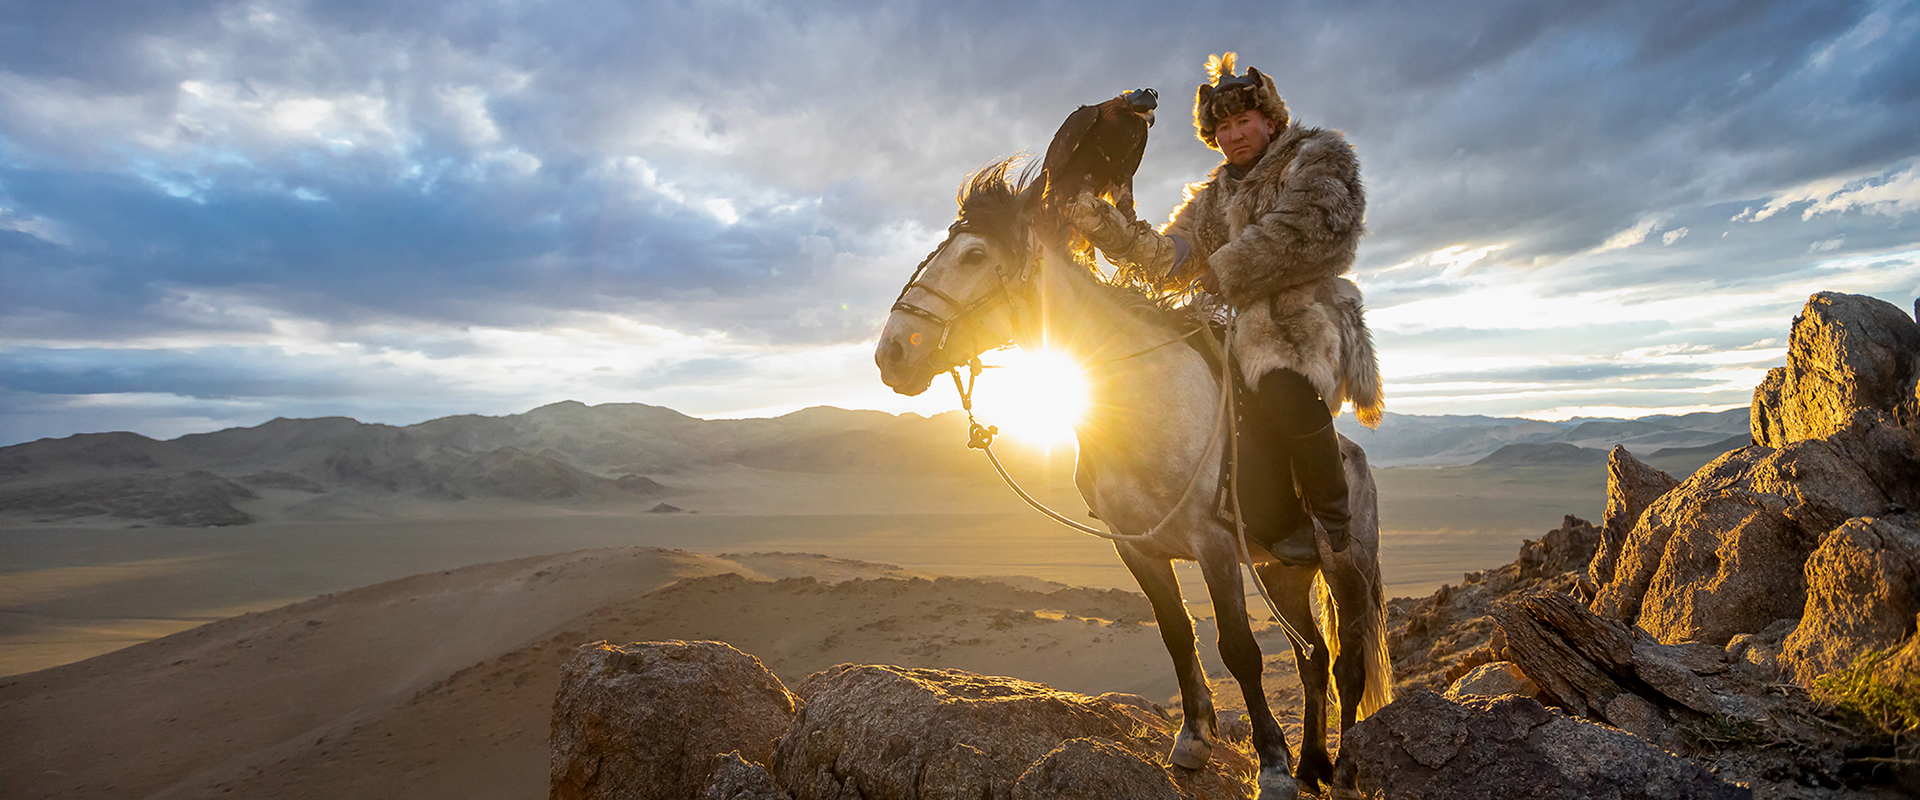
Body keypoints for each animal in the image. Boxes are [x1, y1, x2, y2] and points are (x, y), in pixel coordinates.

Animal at [875, 157, 1397, 798]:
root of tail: (1356, 458)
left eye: (974, 255)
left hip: (1346, 565)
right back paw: (1312, 764)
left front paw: (1271, 767)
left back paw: (1342, 770)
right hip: (1283, 572)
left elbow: (1238, 648)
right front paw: (1194, 741)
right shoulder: (1137, 548)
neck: (1140, 402)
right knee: (1312, 657)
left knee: (1349, 663)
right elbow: (1177, 633)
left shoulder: (1213, 543)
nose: (892, 353)